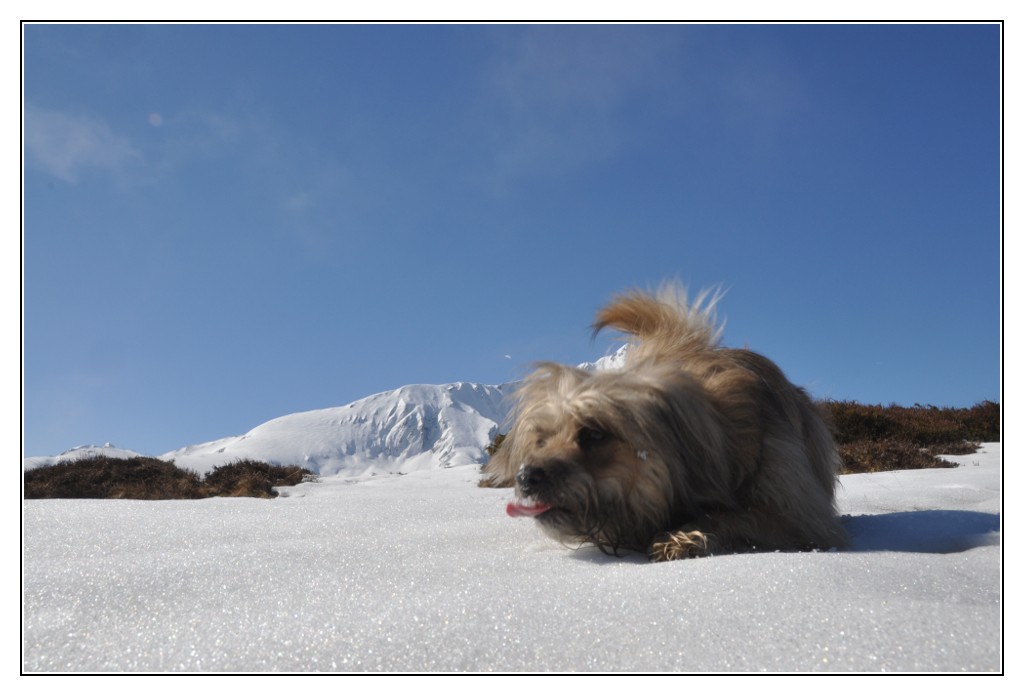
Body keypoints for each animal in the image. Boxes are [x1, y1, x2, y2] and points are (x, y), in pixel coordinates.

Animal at [483, 284, 851, 560]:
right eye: (541, 439)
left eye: (594, 434)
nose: (526, 476)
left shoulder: (801, 517)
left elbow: (735, 515)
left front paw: (683, 536)